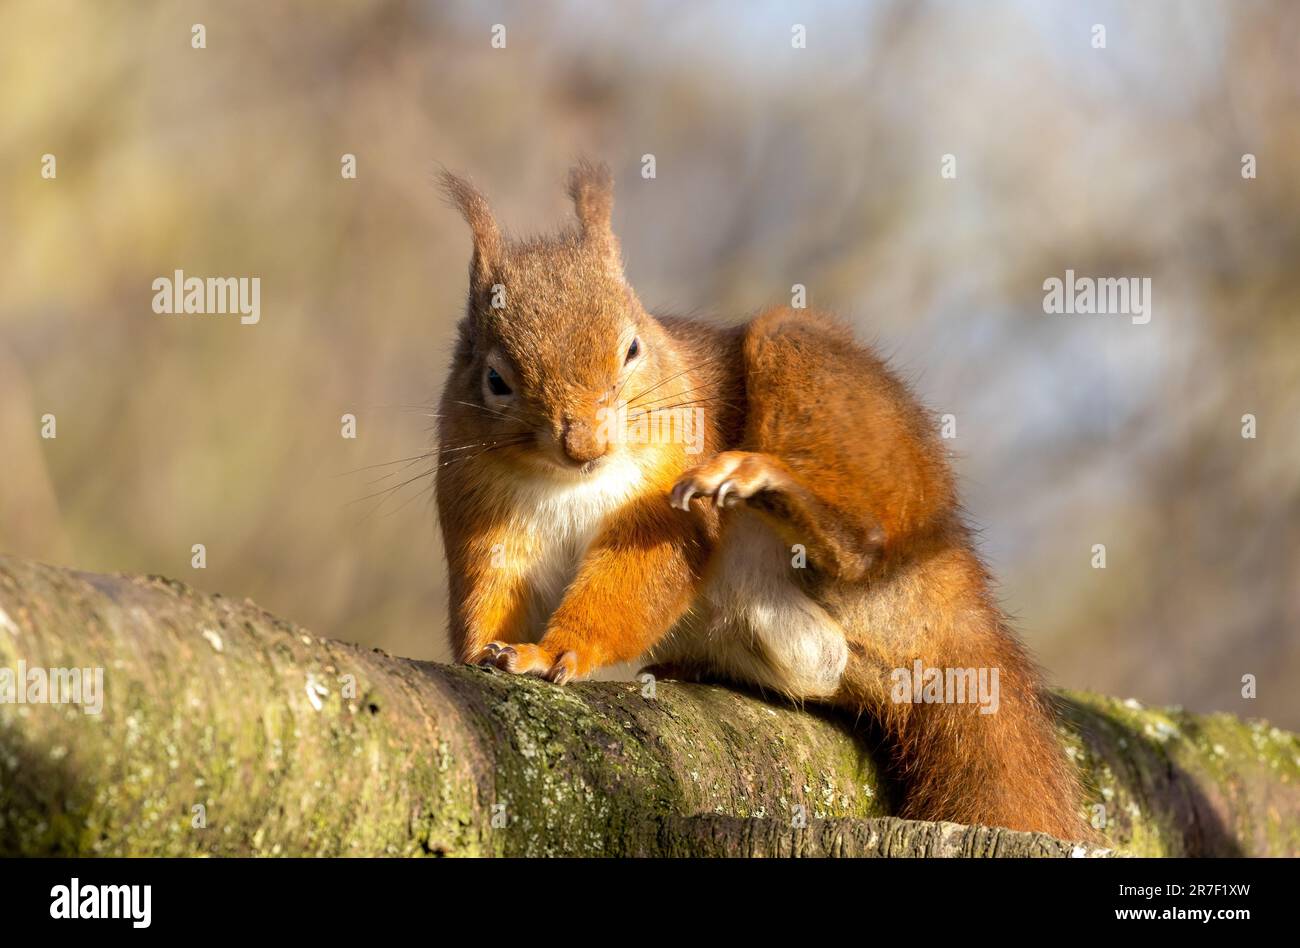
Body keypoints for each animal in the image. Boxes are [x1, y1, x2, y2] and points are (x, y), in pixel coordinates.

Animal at [434, 160, 1086, 837]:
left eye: (633, 348)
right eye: (495, 380)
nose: (585, 444)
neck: (569, 484)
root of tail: (948, 564)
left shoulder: (665, 498)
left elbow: (643, 574)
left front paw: (551, 651)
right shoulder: (481, 513)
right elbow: (490, 589)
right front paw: (486, 653)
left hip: (821, 387)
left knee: (863, 549)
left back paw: (769, 488)